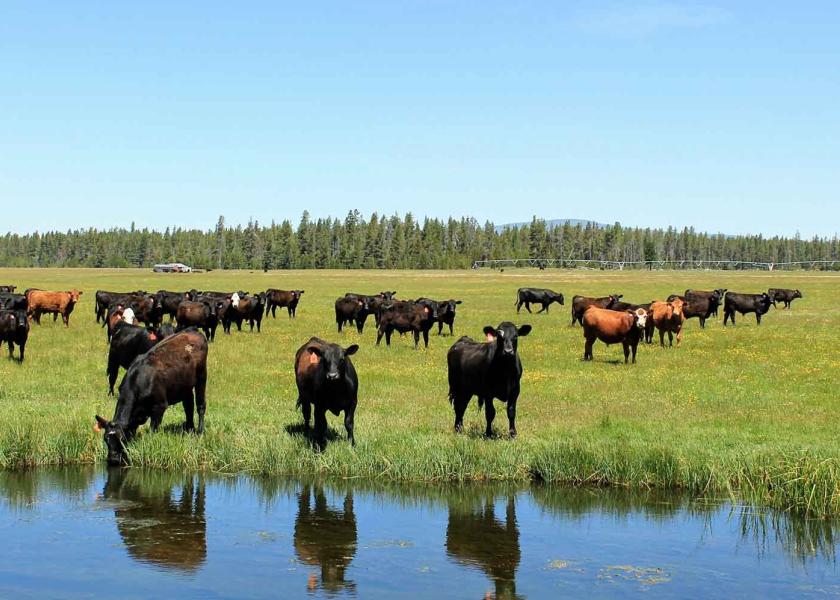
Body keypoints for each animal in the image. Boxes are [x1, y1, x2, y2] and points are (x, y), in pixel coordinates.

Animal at [93, 328, 207, 464]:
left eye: (122, 439)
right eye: (106, 439)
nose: (113, 459)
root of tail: (193, 330)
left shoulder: (160, 406)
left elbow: (153, 429)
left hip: (201, 376)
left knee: (200, 405)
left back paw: (199, 431)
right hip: (185, 385)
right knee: (188, 405)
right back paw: (189, 429)